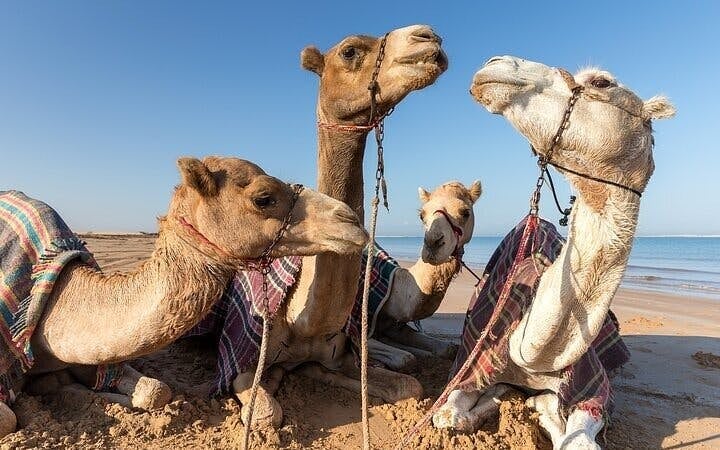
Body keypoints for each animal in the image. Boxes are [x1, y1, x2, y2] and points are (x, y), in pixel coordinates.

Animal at [229, 25, 448, 427]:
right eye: (349, 51)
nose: (428, 37)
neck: (304, 319)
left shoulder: (338, 351)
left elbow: (409, 386)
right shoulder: (247, 356)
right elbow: (266, 412)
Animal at [366, 180, 482, 372]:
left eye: (465, 212)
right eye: (422, 215)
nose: (433, 243)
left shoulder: (393, 324)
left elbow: (447, 348)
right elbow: (405, 359)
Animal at [432, 56, 675, 449]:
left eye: (602, 82)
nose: (495, 64)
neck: (534, 357)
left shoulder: (592, 386)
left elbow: (579, 438)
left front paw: (539, 407)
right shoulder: (472, 364)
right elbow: (448, 414)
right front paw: (507, 399)